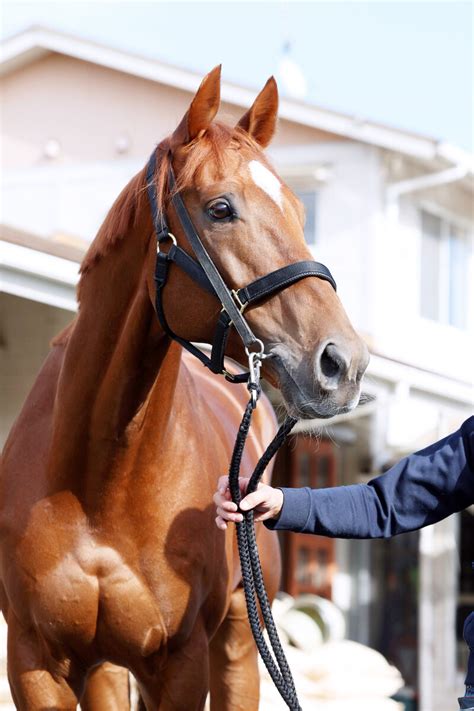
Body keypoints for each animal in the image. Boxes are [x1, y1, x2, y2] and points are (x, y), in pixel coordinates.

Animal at [0, 68, 366, 711]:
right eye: (221, 208)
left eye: (300, 210)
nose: (342, 363)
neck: (97, 485)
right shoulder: (34, 665)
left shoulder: (181, 663)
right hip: (106, 668)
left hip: (241, 643)